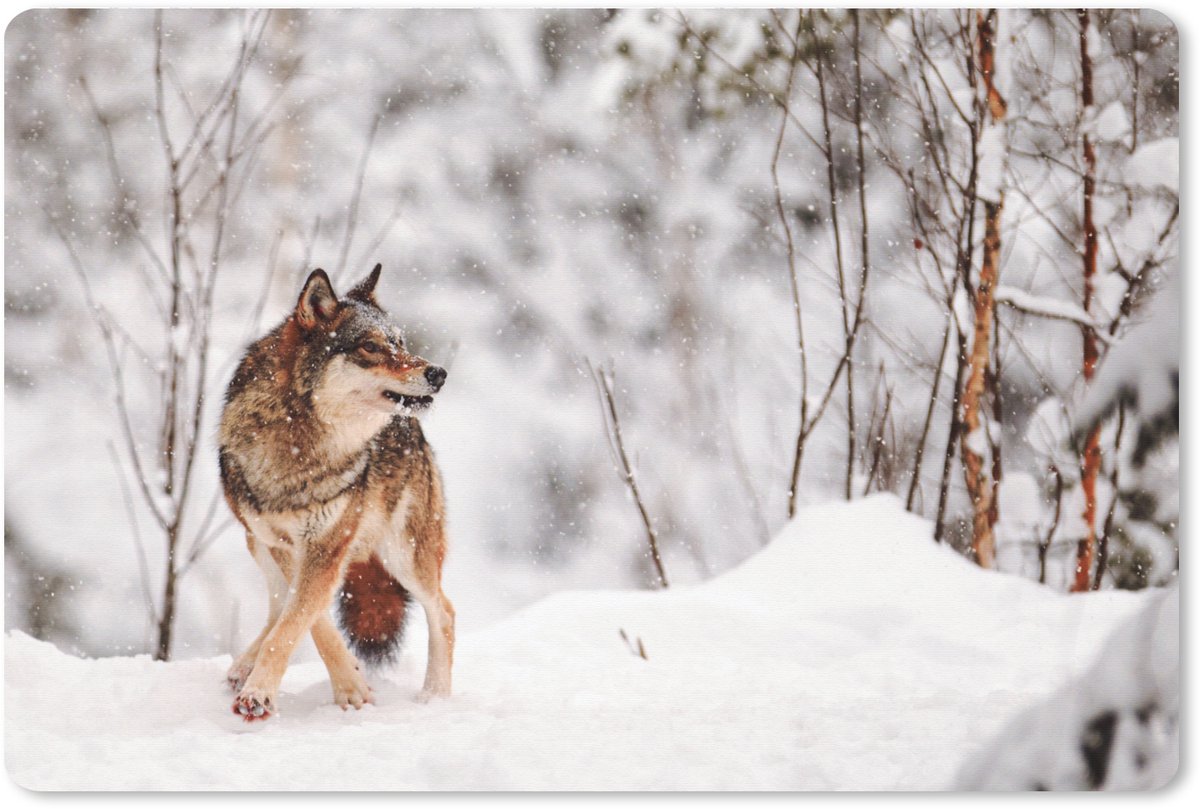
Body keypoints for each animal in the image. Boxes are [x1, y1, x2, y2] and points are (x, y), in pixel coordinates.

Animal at [218, 264, 454, 720]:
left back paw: (434, 698)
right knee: (277, 604)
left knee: (445, 612)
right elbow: (307, 621)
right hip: (256, 542)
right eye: (370, 347)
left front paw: (262, 694)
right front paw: (350, 684)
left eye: (400, 343)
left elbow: (296, 622)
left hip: (405, 555)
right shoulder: (285, 544)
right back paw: (242, 666)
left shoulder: (326, 545)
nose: (437, 373)